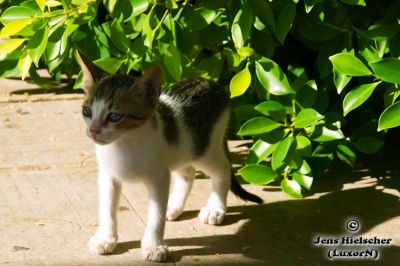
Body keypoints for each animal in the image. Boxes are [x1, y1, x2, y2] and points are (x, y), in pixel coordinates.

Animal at [79, 52, 262, 262]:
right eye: (87, 111)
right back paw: (174, 206)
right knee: (187, 173)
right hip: (182, 150)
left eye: (115, 116)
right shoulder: (108, 176)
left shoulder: (159, 177)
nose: (93, 131)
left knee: (223, 170)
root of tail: (211, 83)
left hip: (204, 150)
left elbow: (155, 215)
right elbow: (107, 208)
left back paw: (215, 209)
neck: (123, 144)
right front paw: (105, 238)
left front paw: (154, 246)